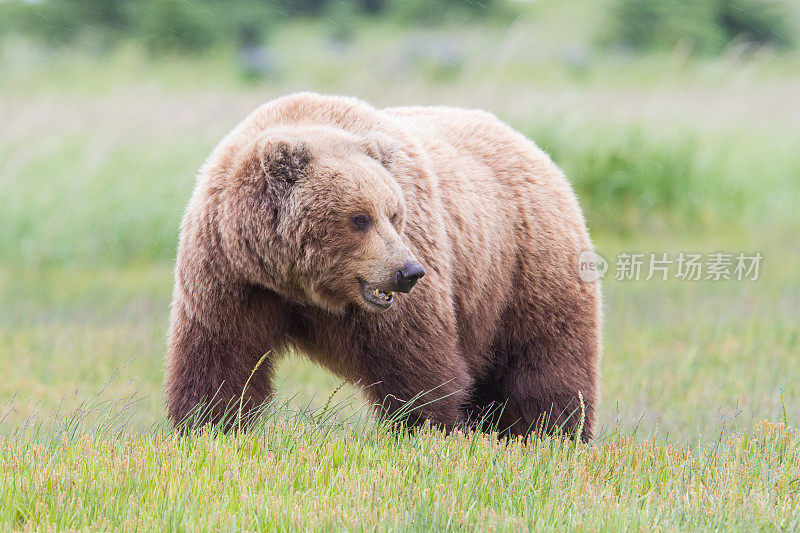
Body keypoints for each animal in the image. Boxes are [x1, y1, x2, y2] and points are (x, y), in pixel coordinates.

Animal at [167, 91, 600, 440]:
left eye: (394, 213)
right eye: (359, 218)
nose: (408, 272)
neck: (299, 283)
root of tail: (536, 150)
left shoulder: (405, 292)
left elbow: (416, 361)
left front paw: (428, 429)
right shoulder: (231, 274)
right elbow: (222, 356)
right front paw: (207, 426)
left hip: (525, 266)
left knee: (544, 360)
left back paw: (553, 434)